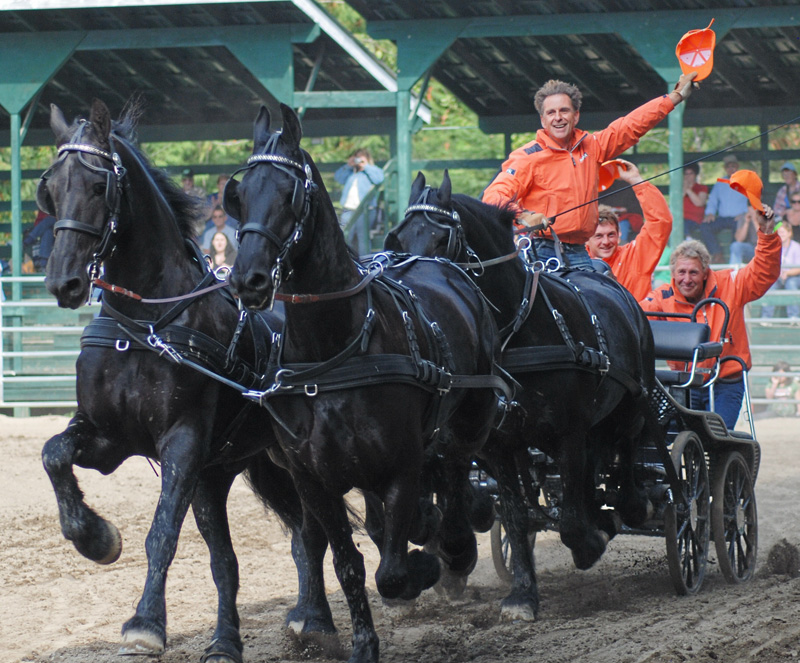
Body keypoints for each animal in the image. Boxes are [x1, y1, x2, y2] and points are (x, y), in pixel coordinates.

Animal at [39, 100, 338, 663]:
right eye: (52, 186)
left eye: (98, 186)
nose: (63, 281)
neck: (146, 323)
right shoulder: (107, 436)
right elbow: (53, 455)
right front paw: (94, 537)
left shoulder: (182, 440)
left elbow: (162, 533)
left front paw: (145, 623)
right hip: (225, 473)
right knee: (244, 555)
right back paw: (240, 636)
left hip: (278, 460)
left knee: (313, 532)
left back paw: (314, 619)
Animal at [225, 104, 504, 663]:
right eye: (240, 195)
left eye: (289, 194)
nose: (248, 279)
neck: (335, 351)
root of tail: (443, 269)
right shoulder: (314, 481)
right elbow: (349, 564)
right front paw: (362, 642)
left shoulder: (402, 465)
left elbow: (393, 570)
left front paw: (428, 563)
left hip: (472, 416)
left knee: (458, 473)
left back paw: (456, 544)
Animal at [384, 171, 660, 624]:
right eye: (399, 238)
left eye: (442, 239)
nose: (410, 289)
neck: (515, 332)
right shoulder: (500, 445)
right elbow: (517, 516)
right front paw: (522, 595)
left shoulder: (568, 432)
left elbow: (569, 520)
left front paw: (590, 544)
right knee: (596, 467)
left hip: (634, 399)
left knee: (628, 446)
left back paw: (634, 506)